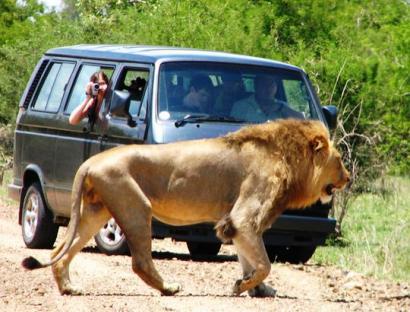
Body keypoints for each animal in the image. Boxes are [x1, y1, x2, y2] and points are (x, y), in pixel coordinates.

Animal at [21, 119, 350, 298]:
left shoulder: (235, 224)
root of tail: (90, 162)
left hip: (95, 211)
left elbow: (249, 259)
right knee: (140, 261)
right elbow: (264, 263)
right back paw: (169, 288)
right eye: (339, 161)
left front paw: (258, 290)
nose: (348, 178)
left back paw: (68, 288)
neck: (288, 158)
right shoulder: (245, 217)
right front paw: (242, 286)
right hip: (135, 205)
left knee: (59, 251)